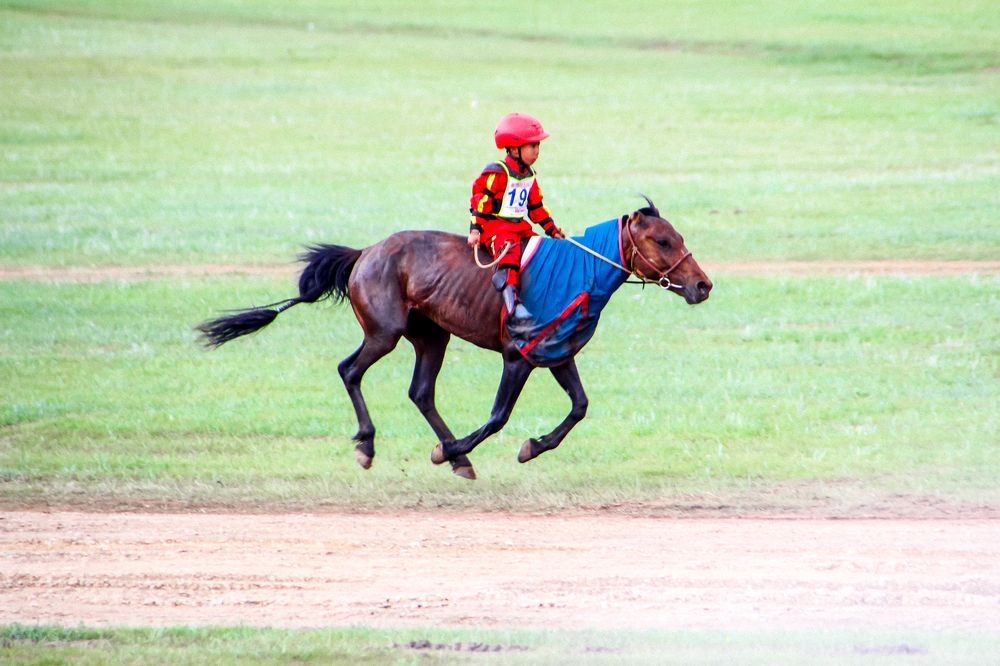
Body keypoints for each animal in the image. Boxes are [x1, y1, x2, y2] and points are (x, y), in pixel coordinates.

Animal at [197, 198, 712, 480]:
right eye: (663, 241)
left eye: (679, 236)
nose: (703, 285)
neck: (581, 272)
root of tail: (366, 252)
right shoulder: (518, 356)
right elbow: (499, 417)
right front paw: (450, 451)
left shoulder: (557, 354)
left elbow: (580, 408)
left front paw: (530, 446)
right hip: (385, 332)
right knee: (350, 370)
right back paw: (371, 445)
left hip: (431, 337)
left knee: (421, 392)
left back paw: (456, 460)